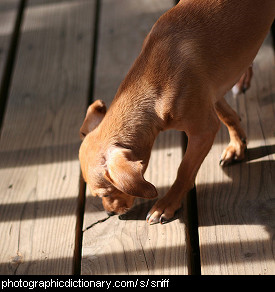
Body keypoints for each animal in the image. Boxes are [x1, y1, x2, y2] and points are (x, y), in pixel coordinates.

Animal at [78, 0, 274, 224]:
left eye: (107, 193)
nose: (110, 213)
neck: (155, 81)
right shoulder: (211, 94)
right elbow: (228, 116)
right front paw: (237, 145)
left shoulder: (203, 131)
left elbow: (184, 170)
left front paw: (166, 204)